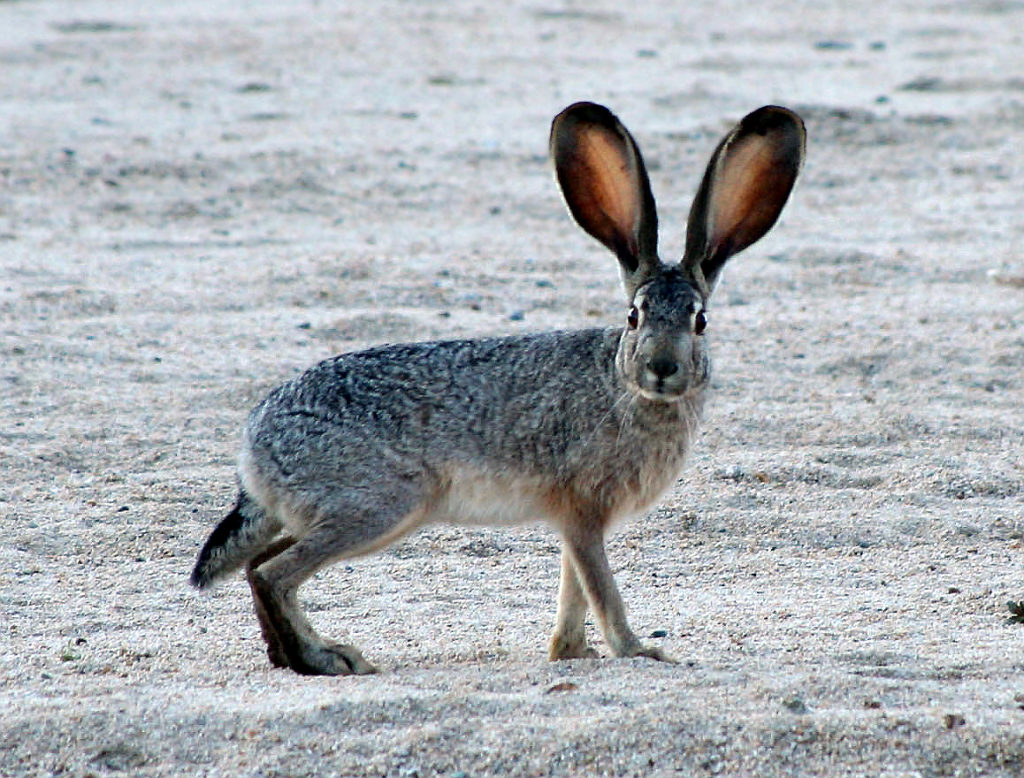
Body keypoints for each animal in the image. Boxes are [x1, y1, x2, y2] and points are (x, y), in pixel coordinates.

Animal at [188, 101, 802, 675]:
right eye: (634, 316)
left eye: (701, 321)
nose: (662, 368)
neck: (624, 385)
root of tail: (252, 449)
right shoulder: (582, 509)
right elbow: (601, 588)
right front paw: (637, 651)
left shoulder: (574, 521)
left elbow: (575, 587)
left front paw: (570, 652)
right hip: (380, 506)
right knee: (275, 572)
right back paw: (327, 658)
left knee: (256, 566)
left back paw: (292, 654)